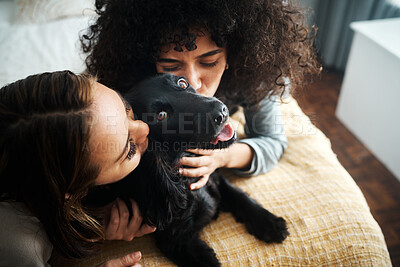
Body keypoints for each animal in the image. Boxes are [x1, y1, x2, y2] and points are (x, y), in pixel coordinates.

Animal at [88, 74, 288, 266]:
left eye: (182, 83)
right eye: (161, 115)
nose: (221, 111)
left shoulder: (213, 177)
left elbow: (240, 197)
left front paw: (269, 223)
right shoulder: (176, 242)